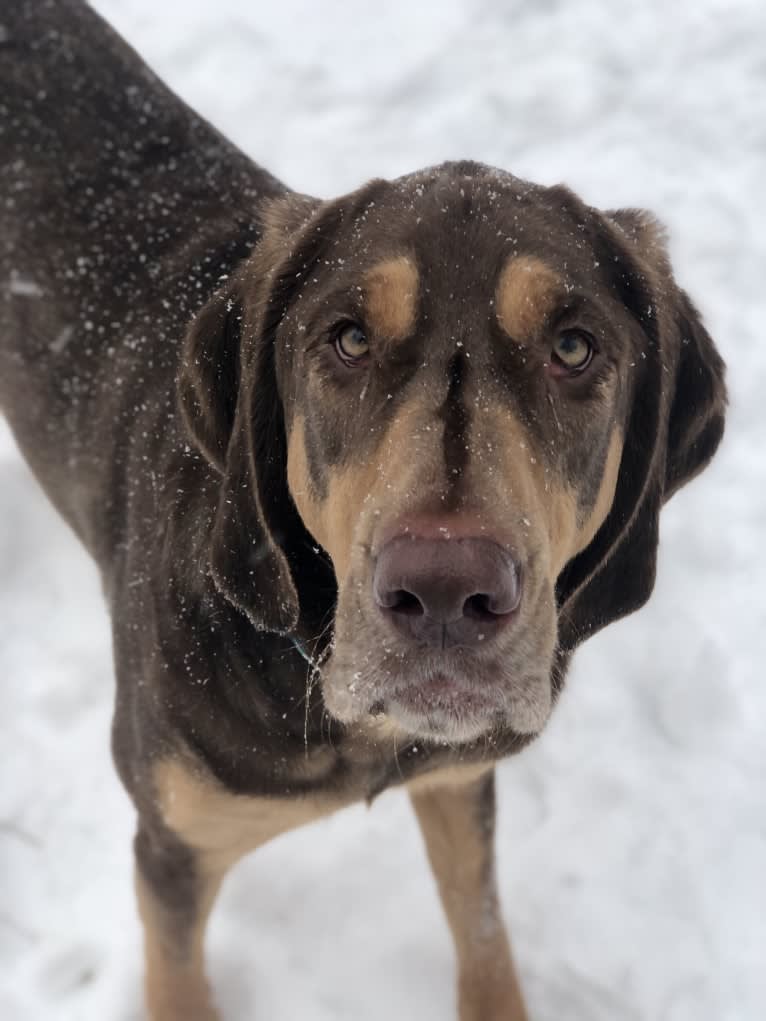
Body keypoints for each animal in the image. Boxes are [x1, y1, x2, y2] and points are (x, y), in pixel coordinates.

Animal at [0, 1, 727, 1021]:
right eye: (346, 340)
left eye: (574, 347)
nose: (447, 593)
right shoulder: (172, 843)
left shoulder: (462, 777)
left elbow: (486, 936)